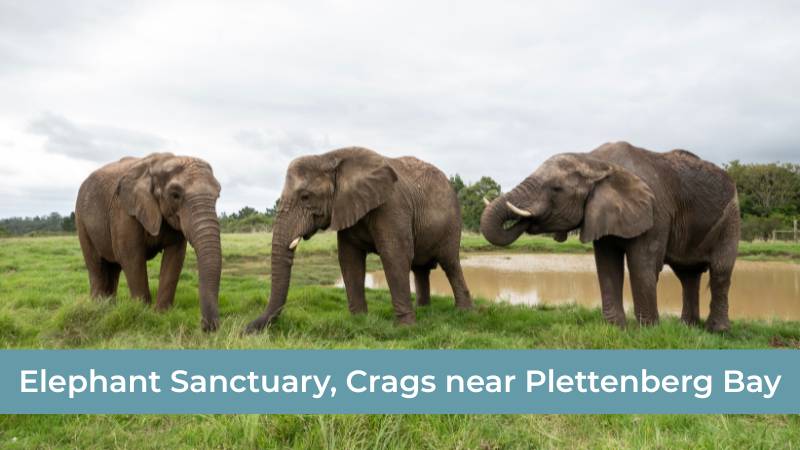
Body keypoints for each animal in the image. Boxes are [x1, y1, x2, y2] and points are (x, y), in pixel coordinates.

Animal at [75, 153, 222, 331]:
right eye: (175, 195)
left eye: (218, 195)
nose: (208, 327)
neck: (160, 163)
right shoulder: (124, 211)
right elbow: (131, 256)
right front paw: (142, 314)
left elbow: (175, 256)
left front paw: (162, 314)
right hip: (81, 220)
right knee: (96, 266)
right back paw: (97, 308)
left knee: (113, 268)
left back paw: (108, 307)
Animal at [245, 147, 473, 333]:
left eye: (306, 197)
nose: (247, 329)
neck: (329, 158)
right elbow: (349, 259)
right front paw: (359, 320)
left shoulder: (392, 206)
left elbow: (395, 256)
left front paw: (406, 328)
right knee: (420, 269)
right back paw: (424, 310)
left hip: (452, 223)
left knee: (450, 263)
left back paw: (464, 312)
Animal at [480, 141, 740, 331]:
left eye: (556, 189)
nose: (526, 219)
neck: (594, 160)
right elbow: (607, 264)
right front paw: (616, 329)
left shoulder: (656, 211)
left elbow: (642, 265)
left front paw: (648, 332)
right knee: (688, 276)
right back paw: (688, 327)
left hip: (731, 217)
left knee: (720, 271)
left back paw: (717, 331)